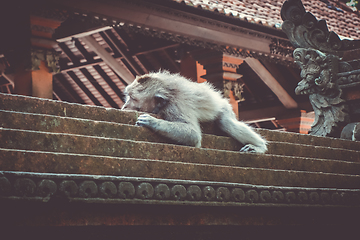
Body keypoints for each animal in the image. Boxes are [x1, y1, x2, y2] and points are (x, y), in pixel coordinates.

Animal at [121, 70, 268, 153]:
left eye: (133, 98)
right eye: (128, 96)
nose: (124, 107)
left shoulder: (175, 105)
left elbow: (193, 134)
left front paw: (152, 121)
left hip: (224, 107)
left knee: (227, 123)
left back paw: (260, 146)